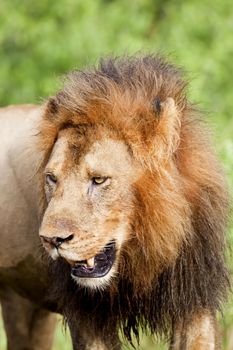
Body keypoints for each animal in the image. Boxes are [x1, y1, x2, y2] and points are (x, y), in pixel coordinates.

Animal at [0, 55, 229, 350]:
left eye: (98, 180)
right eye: (51, 178)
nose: (51, 240)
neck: (144, 248)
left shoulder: (194, 300)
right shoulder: (87, 315)